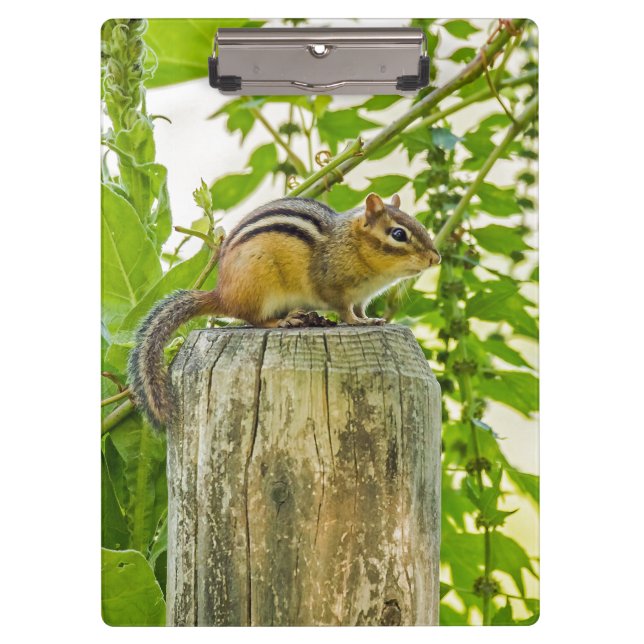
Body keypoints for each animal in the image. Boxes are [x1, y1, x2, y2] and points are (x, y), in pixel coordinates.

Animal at [128, 192, 441, 430]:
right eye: (398, 234)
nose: (435, 259)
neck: (353, 245)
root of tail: (222, 294)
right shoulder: (334, 289)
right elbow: (345, 311)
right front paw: (356, 323)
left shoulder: (362, 297)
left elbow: (361, 310)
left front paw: (371, 319)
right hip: (260, 284)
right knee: (253, 319)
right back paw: (283, 321)